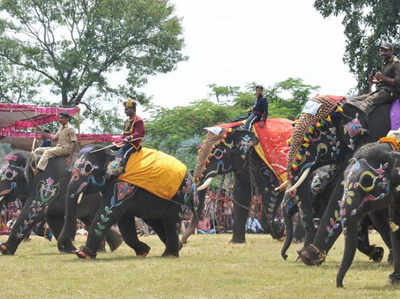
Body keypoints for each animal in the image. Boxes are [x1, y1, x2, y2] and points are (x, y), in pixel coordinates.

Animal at [57, 146, 197, 260]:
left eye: (88, 169)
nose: (66, 249)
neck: (113, 154)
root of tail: (192, 179)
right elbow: (124, 221)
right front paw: (144, 251)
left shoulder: (124, 186)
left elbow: (108, 214)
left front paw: (82, 254)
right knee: (155, 221)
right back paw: (177, 247)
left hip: (180, 196)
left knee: (169, 221)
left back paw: (170, 255)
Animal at [274, 95, 392, 262]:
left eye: (315, 134)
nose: (287, 256)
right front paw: (377, 253)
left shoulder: (372, 143)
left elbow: (344, 191)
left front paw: (309, 257)